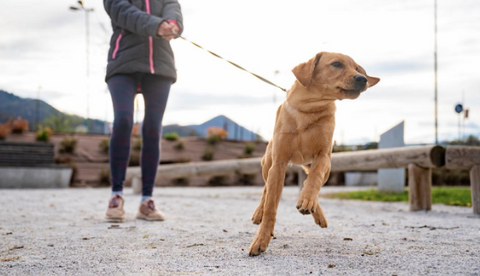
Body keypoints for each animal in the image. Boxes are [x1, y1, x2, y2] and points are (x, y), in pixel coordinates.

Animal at [248, 51, 378, 256]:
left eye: (357, 68)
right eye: (337, 64)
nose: (362, 79)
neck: (309, 109)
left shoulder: (323, 157)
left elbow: (313, 181)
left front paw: (307, 200)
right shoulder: (279, 163)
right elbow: (270, 207)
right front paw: (261, 239)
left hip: (325, 169)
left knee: (310, 182)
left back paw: (313, 208)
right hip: (267, 165)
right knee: (266, 189)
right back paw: (259, 213)